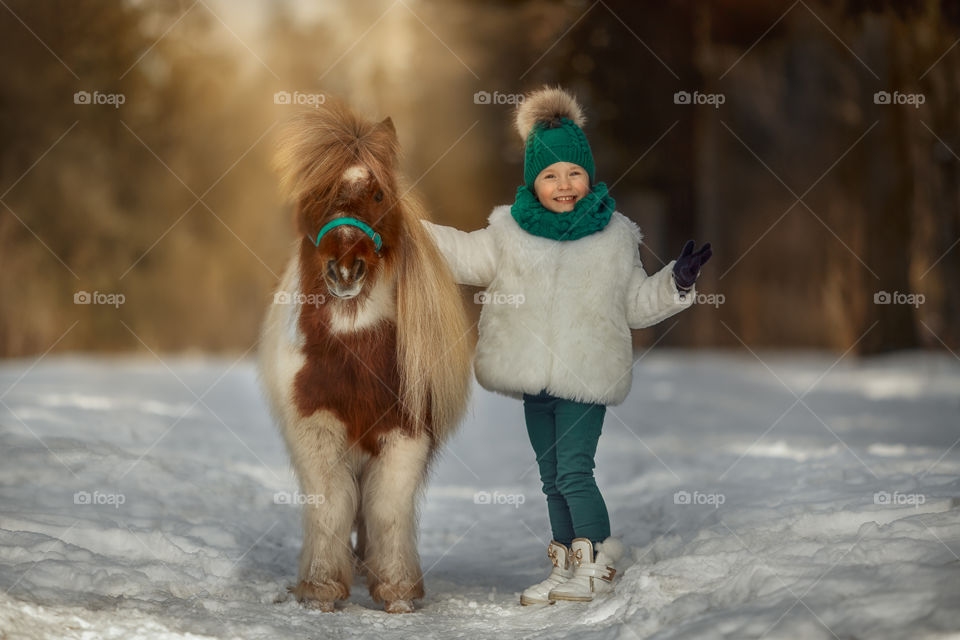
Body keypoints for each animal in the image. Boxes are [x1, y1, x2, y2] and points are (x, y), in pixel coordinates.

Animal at [258, 102, 472, 612]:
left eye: (377, 193)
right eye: (317, 192)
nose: (344, 269)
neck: (354, 352)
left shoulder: (405, 433)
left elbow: (386, 508)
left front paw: (397, 591)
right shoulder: (316, 428)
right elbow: (333, 503)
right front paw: (320, 589)